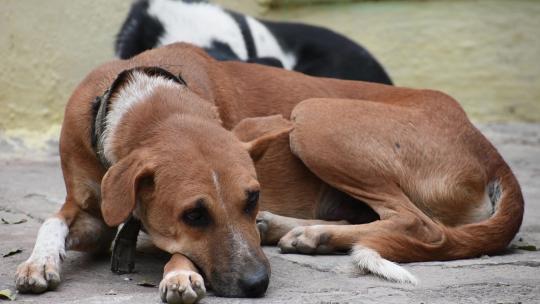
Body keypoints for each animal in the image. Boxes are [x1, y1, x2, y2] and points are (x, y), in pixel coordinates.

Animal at [15, 43, 524, 304]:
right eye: (193, 215)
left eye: (252, 197)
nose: (258, 286)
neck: (145, 101)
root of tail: (487, 147)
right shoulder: (90, 211)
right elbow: (51, 222)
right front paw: (39, 262)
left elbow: (175, 251)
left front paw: (180, 274)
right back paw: (296, 231)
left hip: (313, 114)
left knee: (421, 227)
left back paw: (312, 234)